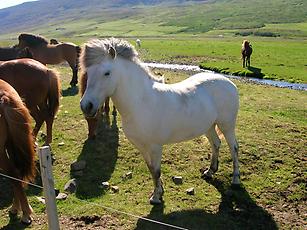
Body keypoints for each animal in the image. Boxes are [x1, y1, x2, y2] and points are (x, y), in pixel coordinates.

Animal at [79, 38, 241, 205]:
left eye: (107, 73)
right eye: (88, 72)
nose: (86, 106)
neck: (141, 102)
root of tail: (228, 82)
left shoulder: (155, 147)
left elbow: (156, 170)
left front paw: (156, 197)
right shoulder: (142, 147)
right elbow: (151, 169)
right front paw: (159, 191)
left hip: (227, 126)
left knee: (234, 148)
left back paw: (235, 180)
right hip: (208, 126)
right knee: (216, 143)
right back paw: (210, 171)